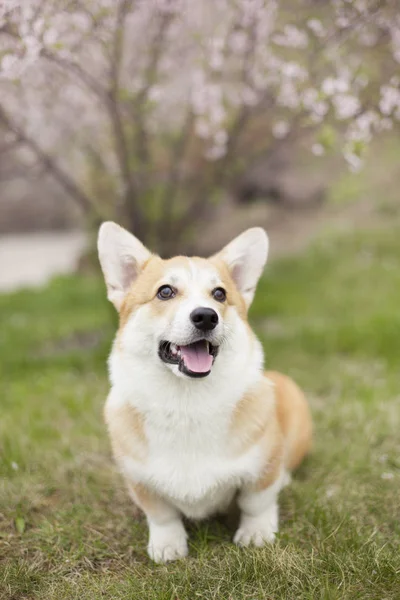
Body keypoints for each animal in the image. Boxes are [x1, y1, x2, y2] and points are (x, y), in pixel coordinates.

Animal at [97, 221, 312, 564]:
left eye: (219, 294)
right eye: (165, 291)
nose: (206, 316)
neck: (187, 401)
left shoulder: (262, 468)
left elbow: (257, 502)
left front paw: (256, 534)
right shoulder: (140, 480)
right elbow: (161, 515)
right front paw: (167, 545)